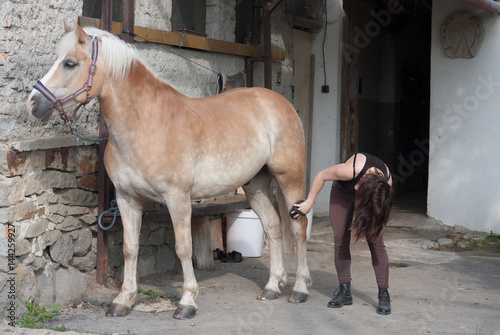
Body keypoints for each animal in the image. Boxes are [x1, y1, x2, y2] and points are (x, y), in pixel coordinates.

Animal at [26, 23, 312, 320]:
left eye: (70, 63)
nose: (33, 103)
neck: (144, 124)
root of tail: (280, 102)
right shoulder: (127, 199)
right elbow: (130, 249)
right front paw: (123, 300)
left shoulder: (177, 199)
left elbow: (183, 249)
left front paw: (187, 301)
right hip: (255, 185)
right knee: (273, 225)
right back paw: (272, 287)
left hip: (289, 179)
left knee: (299, 226)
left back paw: (300, 289)